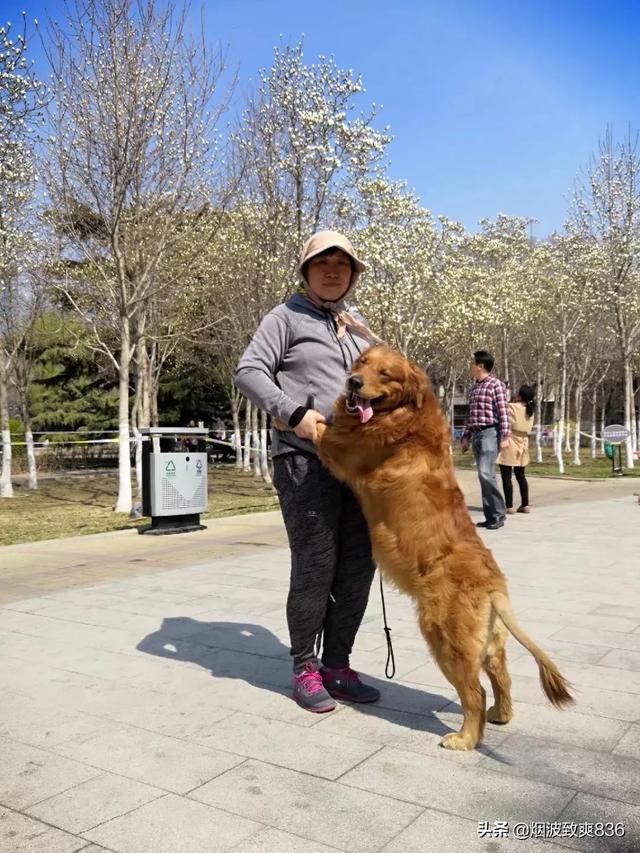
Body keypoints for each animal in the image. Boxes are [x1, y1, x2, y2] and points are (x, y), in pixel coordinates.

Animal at [318, 342, 572, 748]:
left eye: (385, 374)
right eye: (362, 363)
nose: (353, 381)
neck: (406, 414)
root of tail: (493, 588)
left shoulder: (340, 450)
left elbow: (317, 427)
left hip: (444, 638)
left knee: (474, 691)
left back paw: (464, 739)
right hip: (489, 644)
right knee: (502, 678)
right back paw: (499, 716)